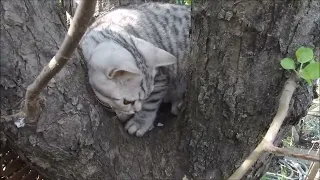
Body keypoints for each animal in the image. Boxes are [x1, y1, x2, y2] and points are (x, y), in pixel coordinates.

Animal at [80, 2, 190, 136]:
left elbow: (151, 103)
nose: (137, 109)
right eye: (126, 102)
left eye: (147, 96)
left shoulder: (161, 78)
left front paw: (139, 122)